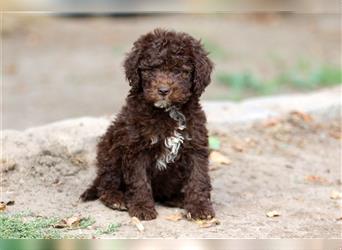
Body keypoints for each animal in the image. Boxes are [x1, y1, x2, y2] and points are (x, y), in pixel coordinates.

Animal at [80, 28, 215, 221]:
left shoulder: (195, 144)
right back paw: (116, 199)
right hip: (109, 150)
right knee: (105, 183)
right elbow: (139, 180)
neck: (167, 112)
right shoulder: (136, 147)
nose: (163, 90)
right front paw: (141, 207)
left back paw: (179, 198)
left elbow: (198, 177)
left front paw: (199, 207)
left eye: (180, 71)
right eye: (151, 70)